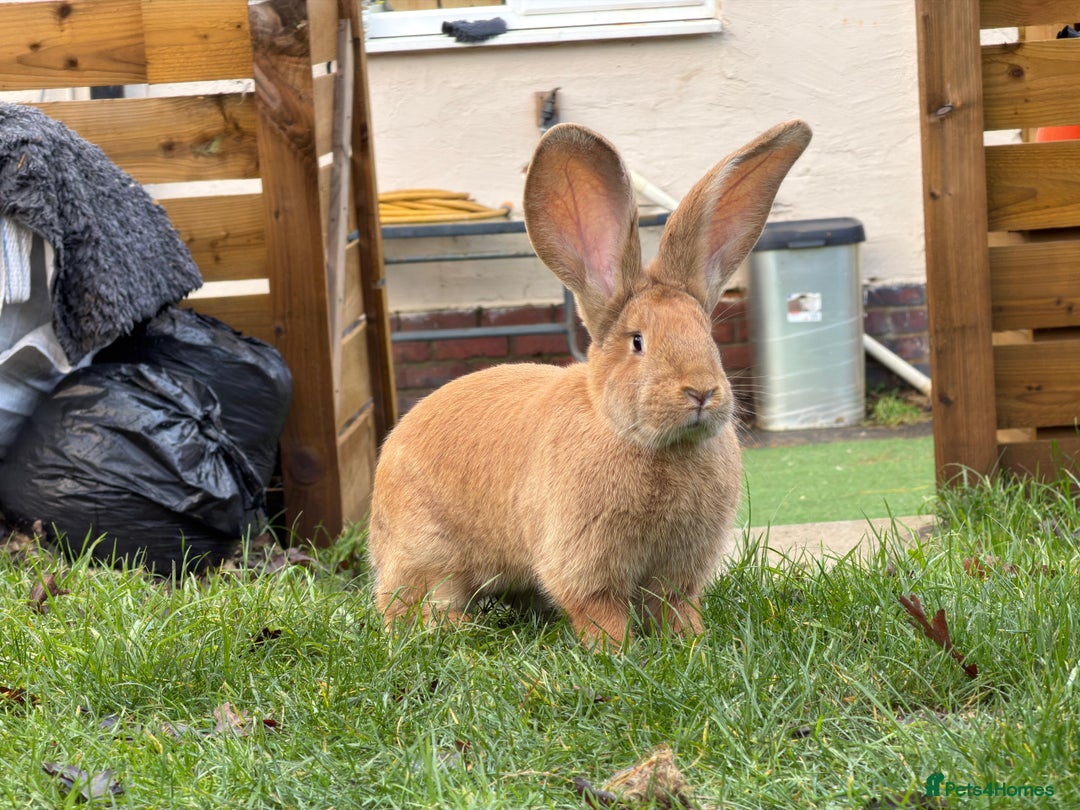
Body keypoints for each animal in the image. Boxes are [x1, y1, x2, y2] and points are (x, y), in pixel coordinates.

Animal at [369, 119, 812, 646]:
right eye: (638, 341)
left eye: (708, 335)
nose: (701, 392)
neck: (644, 441)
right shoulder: (584, 560)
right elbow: (600, 611)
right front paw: (617, 653)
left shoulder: (677, 572)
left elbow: (676, 607)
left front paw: (692, 644)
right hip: (428, 552)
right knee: (417, 603)